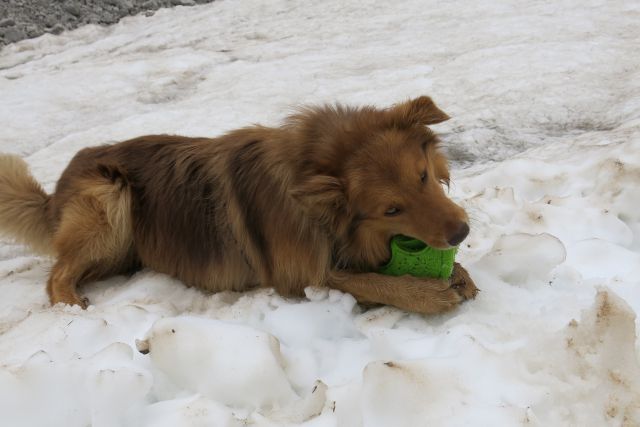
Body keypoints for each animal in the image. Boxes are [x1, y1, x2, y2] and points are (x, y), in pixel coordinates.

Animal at [0, 98, 478, 316]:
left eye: (423, 176)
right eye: (391, 210)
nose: (462, 233)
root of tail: (55, 190)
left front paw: (458, 272)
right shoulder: (297, 276)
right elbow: (366, 281)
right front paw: (426, 293)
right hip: (109, 197)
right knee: (56, 274)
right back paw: (71, 303)